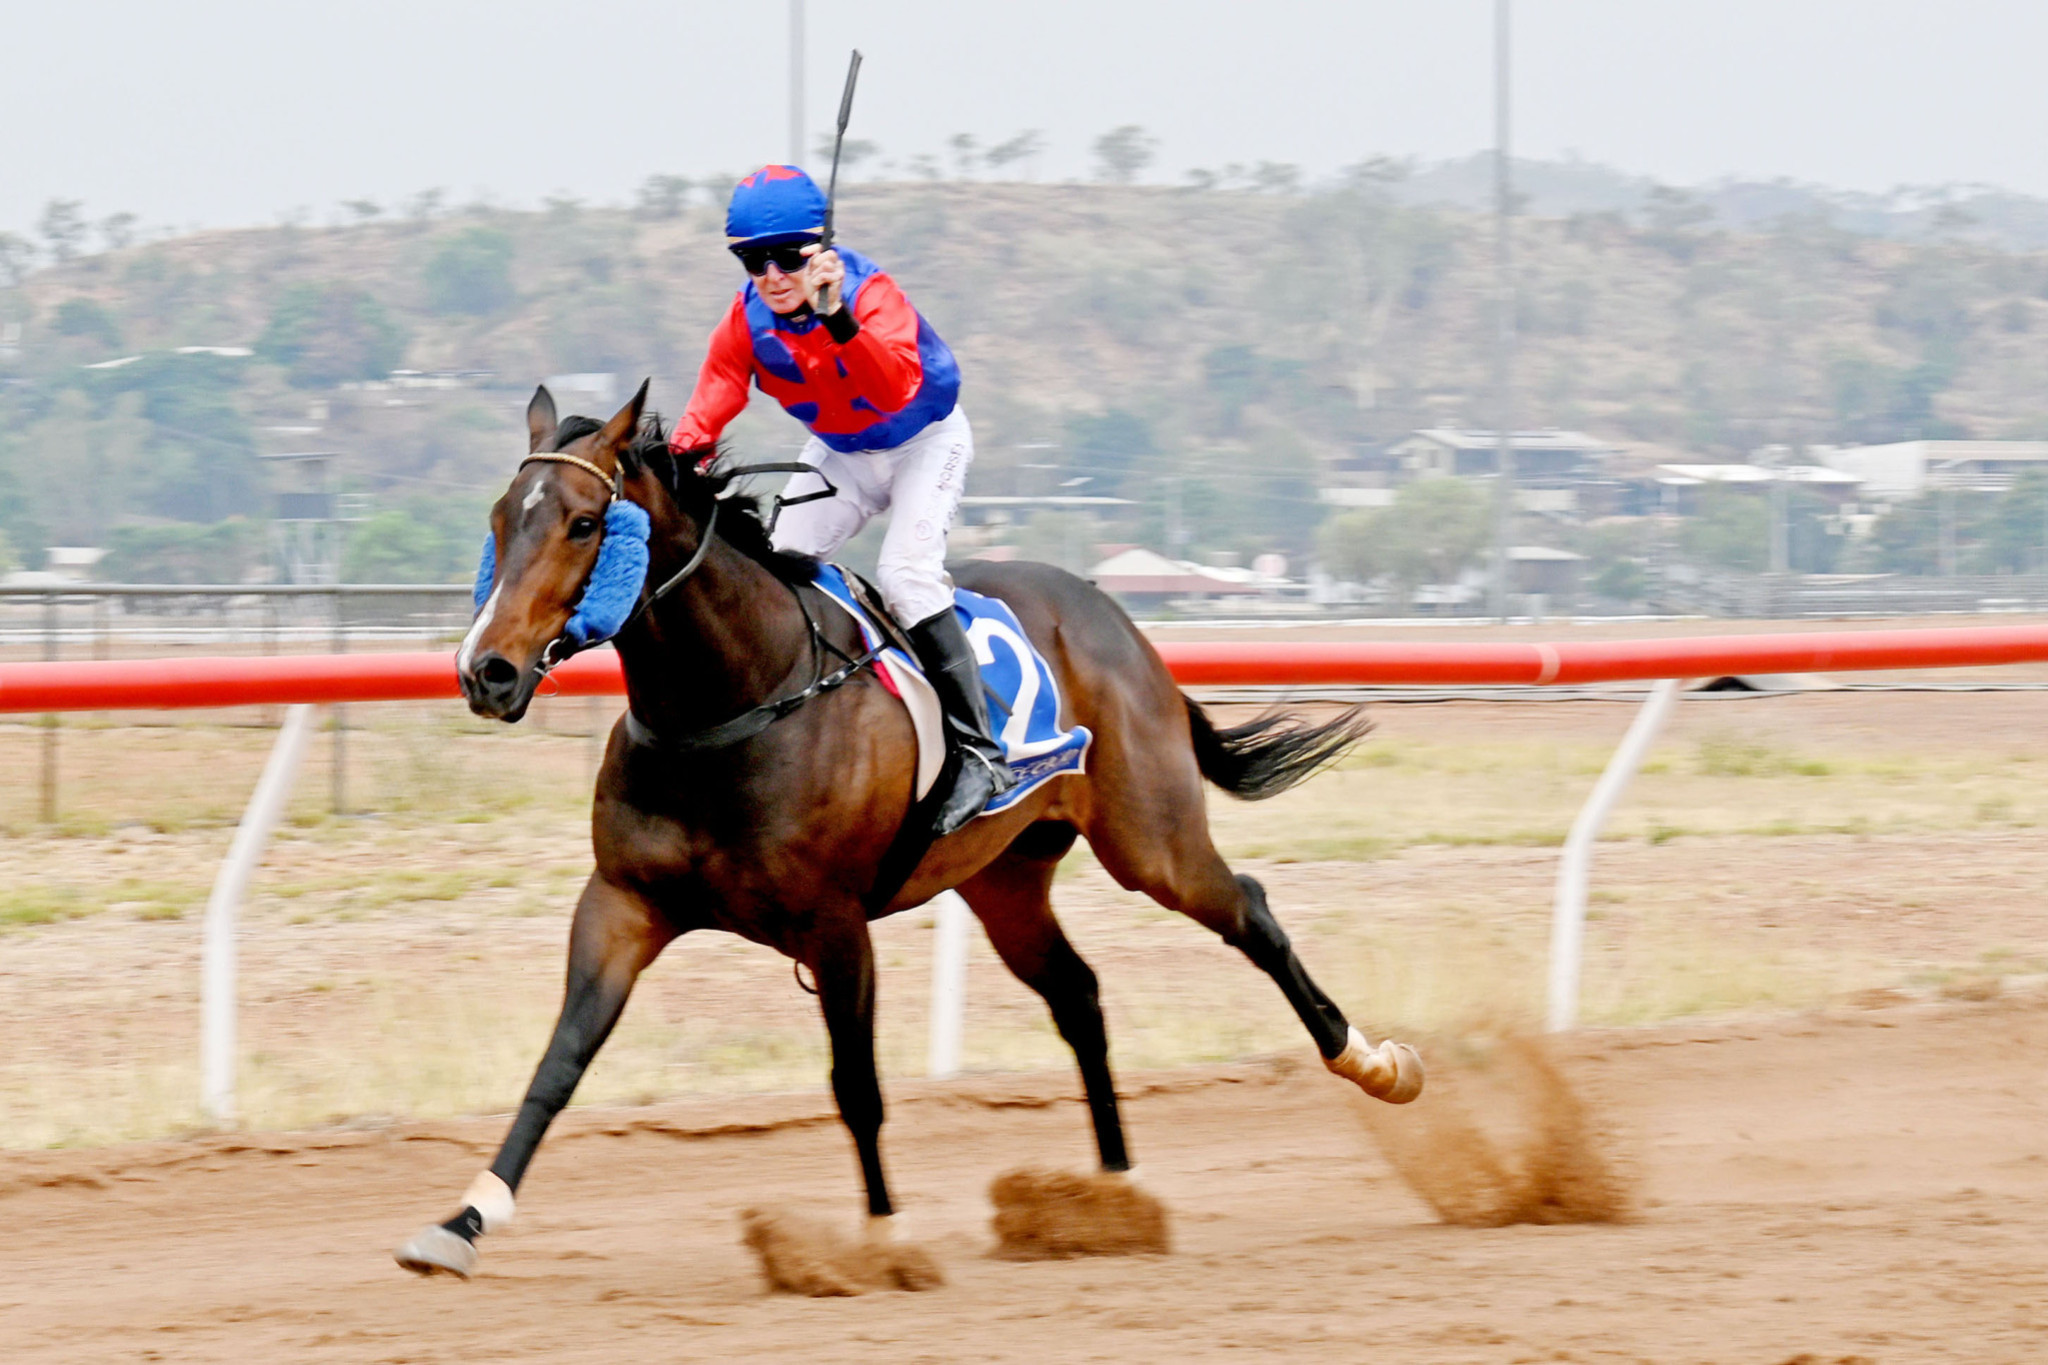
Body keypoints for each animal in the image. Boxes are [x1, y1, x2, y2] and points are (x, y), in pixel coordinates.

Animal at [399, 382, 1425, 1285]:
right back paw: (1111, 1193)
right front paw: (462, 1221)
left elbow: (856, 1084)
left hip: (1152, 842)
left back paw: (1376, 1064)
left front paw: (883, 1242)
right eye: (502, 518)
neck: (733, 698)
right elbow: (559, 1062)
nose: (486, 671)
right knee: (1079, 994)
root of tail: (1115, 615)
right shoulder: (622, 905)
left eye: (583, 523)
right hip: (1005, 879)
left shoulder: (834, 924)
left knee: (1249, 912)